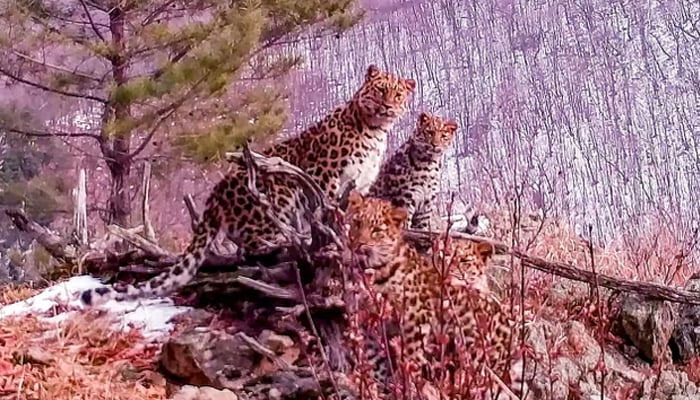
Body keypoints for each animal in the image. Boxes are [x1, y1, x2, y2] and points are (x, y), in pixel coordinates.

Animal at [80, 65, 416, 306]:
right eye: (381, 91)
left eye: (398, 96)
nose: (388, 107)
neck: (374, 132)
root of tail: (215, 196)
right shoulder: (326, 178)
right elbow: (326, 211)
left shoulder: (359, 187)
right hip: (276, 194)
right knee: (251, 244)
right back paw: (285, 240)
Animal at [345, 191, 525, 399]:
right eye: (357, 222)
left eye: (377, 230)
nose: (359, 244)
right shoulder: (367, 324)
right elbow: (377, 363)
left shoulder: (415, 320)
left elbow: (412, 359)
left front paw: (411, 387)